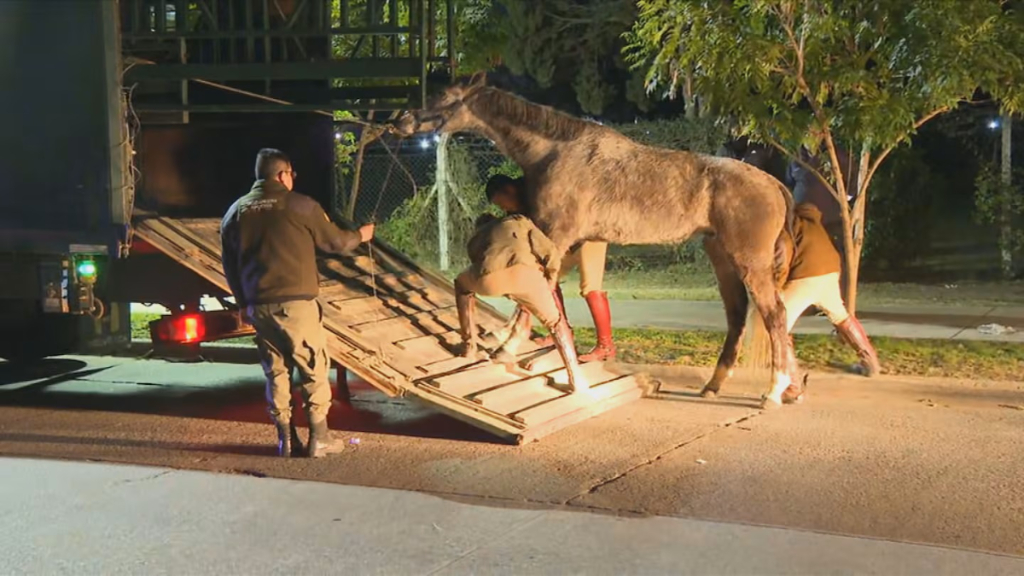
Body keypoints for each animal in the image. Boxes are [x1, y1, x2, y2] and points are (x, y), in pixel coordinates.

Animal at [391, 73, 798, 405]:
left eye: (444, 96)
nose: (400, 120)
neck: (555, 152)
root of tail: (775, 185)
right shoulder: (559, 244)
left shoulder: (554, 235)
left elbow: (533, 296)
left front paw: (506, 348)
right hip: (721, 255)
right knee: (739, 315)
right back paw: (724, 386)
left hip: (749, 260)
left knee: (774, 313)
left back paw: (773, 392)